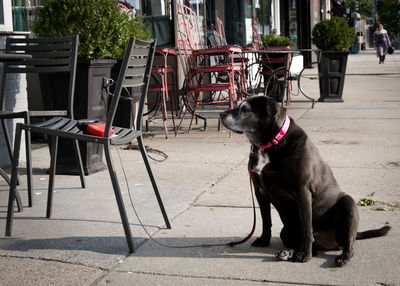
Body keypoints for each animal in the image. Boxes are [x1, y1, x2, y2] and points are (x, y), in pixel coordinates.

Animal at [219, 95, 390, 266]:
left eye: (245, 109)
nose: (221, 114)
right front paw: (264, 239)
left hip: (349, 204)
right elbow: (265, 219)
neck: (270, 144)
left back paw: (341, 256)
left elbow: (307, 229)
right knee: (311, 246)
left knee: (346, 242)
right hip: (286, 231)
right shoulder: (259, 192)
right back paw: (287, 252)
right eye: (237, 105)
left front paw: (304, 255)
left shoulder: (303, 191)